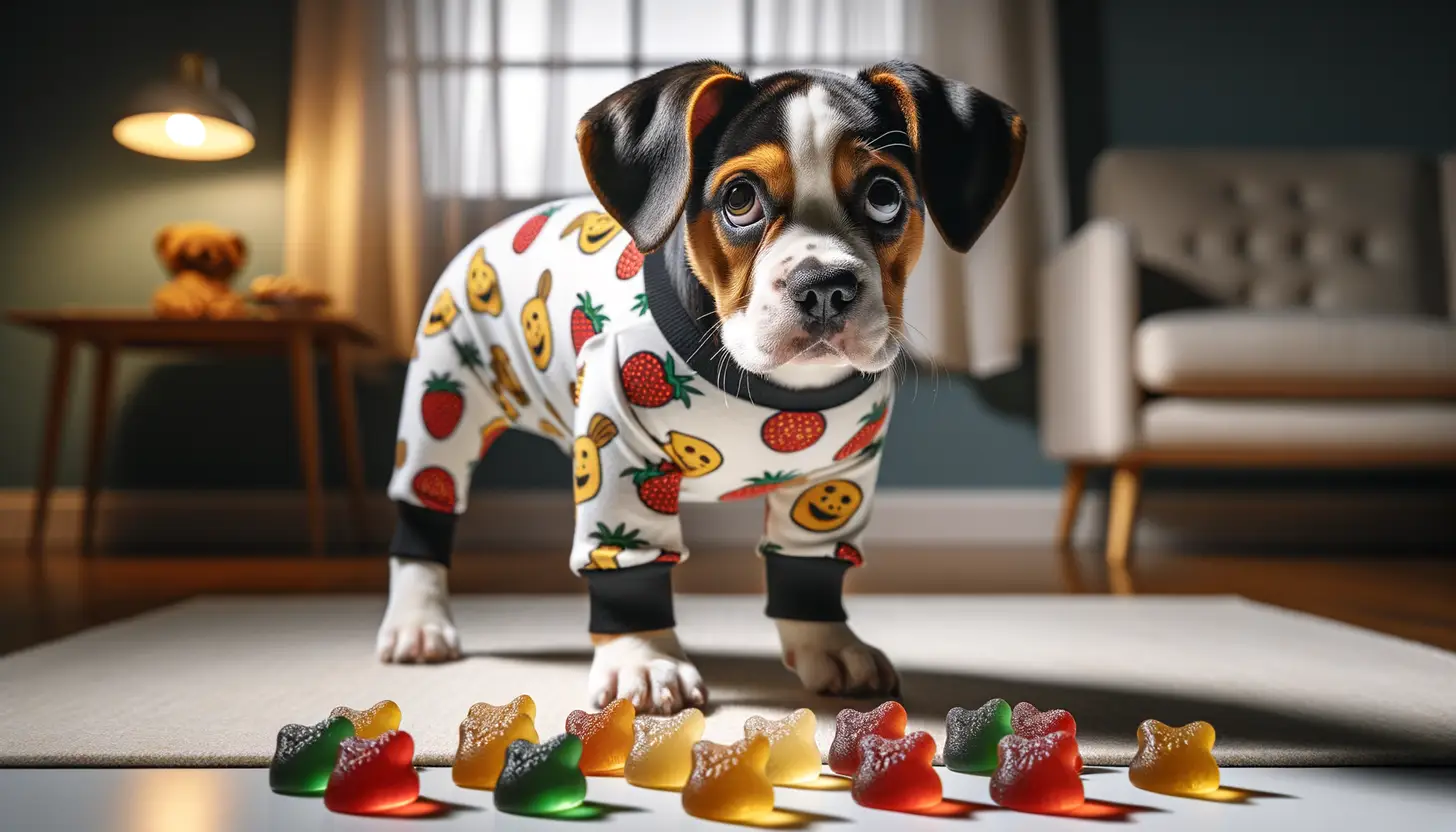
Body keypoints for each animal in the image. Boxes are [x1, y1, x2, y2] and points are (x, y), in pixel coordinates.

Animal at [375, 60, 1025, 716]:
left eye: (885, 195)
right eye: (739, 199)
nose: (823, 285)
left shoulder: (840, 474)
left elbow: (810, 565)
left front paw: (828, 646)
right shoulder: (615, 454)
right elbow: (627, 560)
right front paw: (643, 659)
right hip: (446, 395)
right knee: (426, 506)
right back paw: (418, 624)